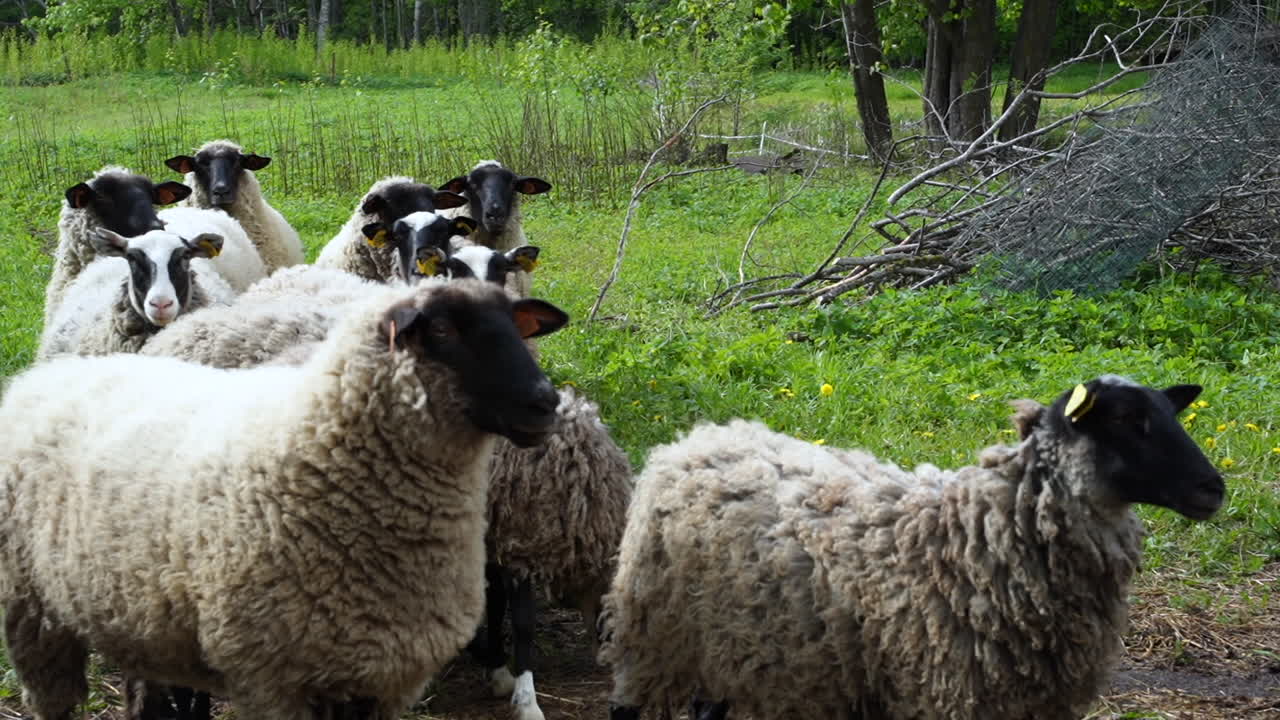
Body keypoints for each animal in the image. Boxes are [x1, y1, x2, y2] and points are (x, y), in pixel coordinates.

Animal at [0, 279, 572, 720]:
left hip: (132, 615)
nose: (545, 403)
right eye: (443, 330)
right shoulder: (272, 679)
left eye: (518, 327)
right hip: (31, 611)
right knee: (53, 700)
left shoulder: (381, 678)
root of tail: (44, 376)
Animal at [599, 376, 1225, 720]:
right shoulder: (947, 694)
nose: (1212, 489)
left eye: (1169, 413)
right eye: (1129, 419)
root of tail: (699, 437)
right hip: (653, 628)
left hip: (734, 636)